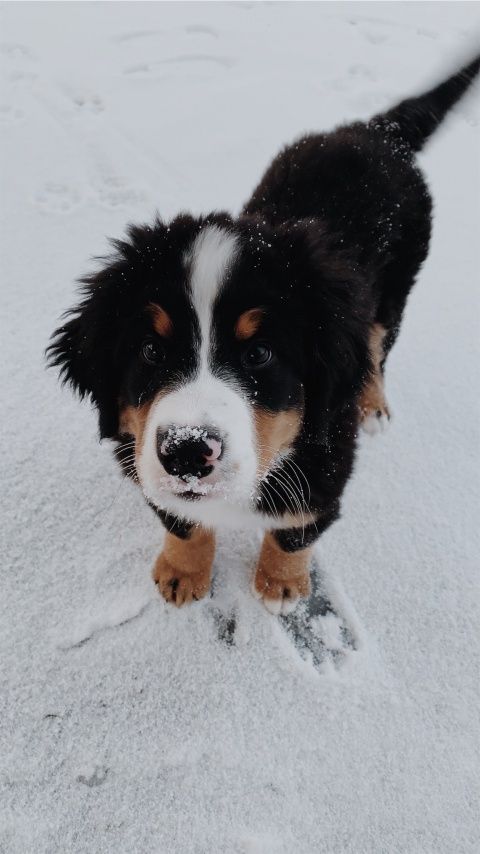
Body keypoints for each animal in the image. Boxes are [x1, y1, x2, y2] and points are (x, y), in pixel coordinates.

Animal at [49, 55, 480, 616]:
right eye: (149, 350)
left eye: (258, 353)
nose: (187, 452)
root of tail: (375, 130)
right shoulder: (139, 452)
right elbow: (181, 520)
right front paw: (182, 572)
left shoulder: (325, 461)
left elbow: (296, 528)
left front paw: (281, 585)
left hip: (396, 291)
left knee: (377, 349)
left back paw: (374, 404)